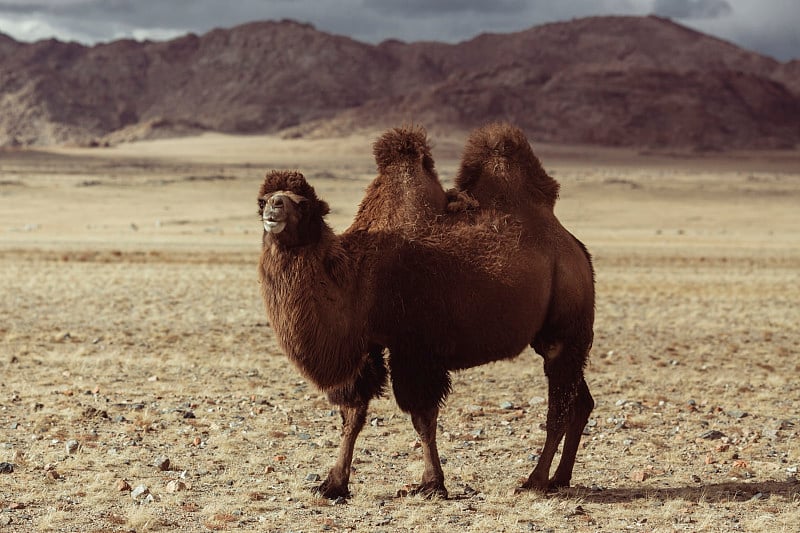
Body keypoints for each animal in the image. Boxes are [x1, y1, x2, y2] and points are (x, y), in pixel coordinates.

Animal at [256, 130, 592, 498]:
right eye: (263, 199)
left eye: (302, 203)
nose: (274, 207)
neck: (358, 277)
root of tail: (576, 248)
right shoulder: (367, 350)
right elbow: (352, 414)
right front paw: (333, 484)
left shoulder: (415, 348)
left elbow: (421, 416)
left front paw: (431, 484)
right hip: (552, 336)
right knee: (580, 402)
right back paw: (560, 478)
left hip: (565, 326)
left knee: (560, 405)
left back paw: (535, 480)